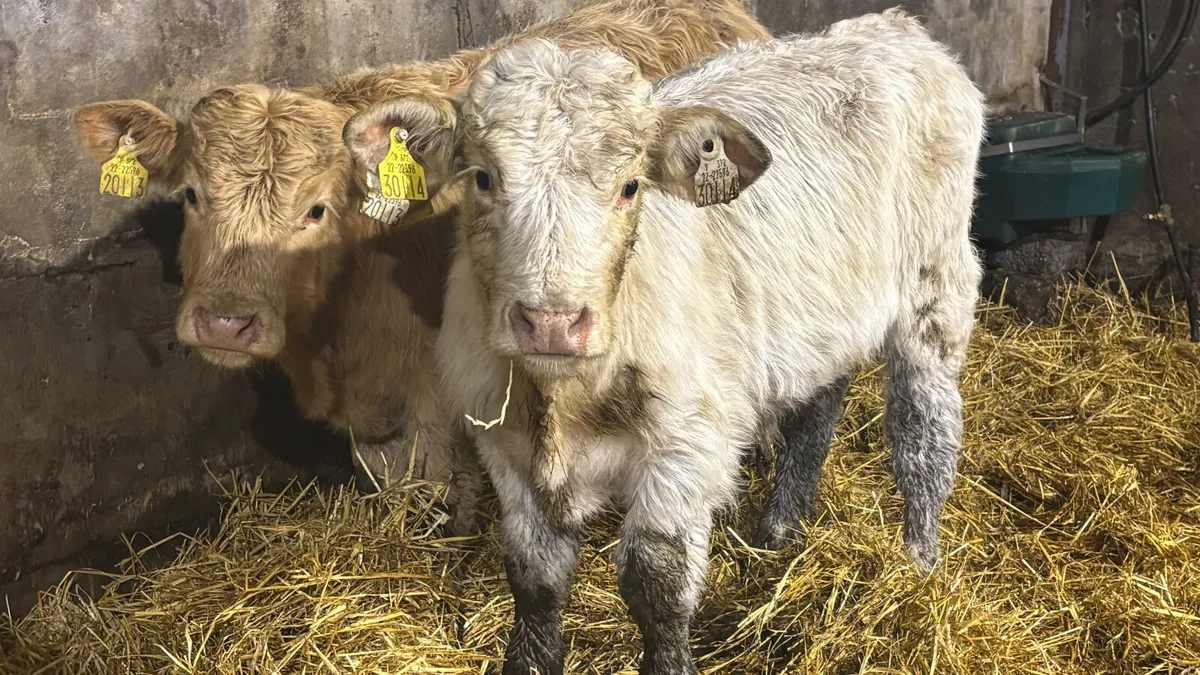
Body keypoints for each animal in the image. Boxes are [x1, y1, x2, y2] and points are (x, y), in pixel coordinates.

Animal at [343, 10, 986, 673]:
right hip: (824, 320)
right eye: (483, 178)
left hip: (936, 284)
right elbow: (533, 576)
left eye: (631, 187)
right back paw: (778, 534)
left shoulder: (686, 448)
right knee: (818, 407)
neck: (566, 399)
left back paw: (919, 564)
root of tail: (889, 27)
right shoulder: (504, 444)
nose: (552, 322)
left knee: (923, 431)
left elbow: (656, 585)